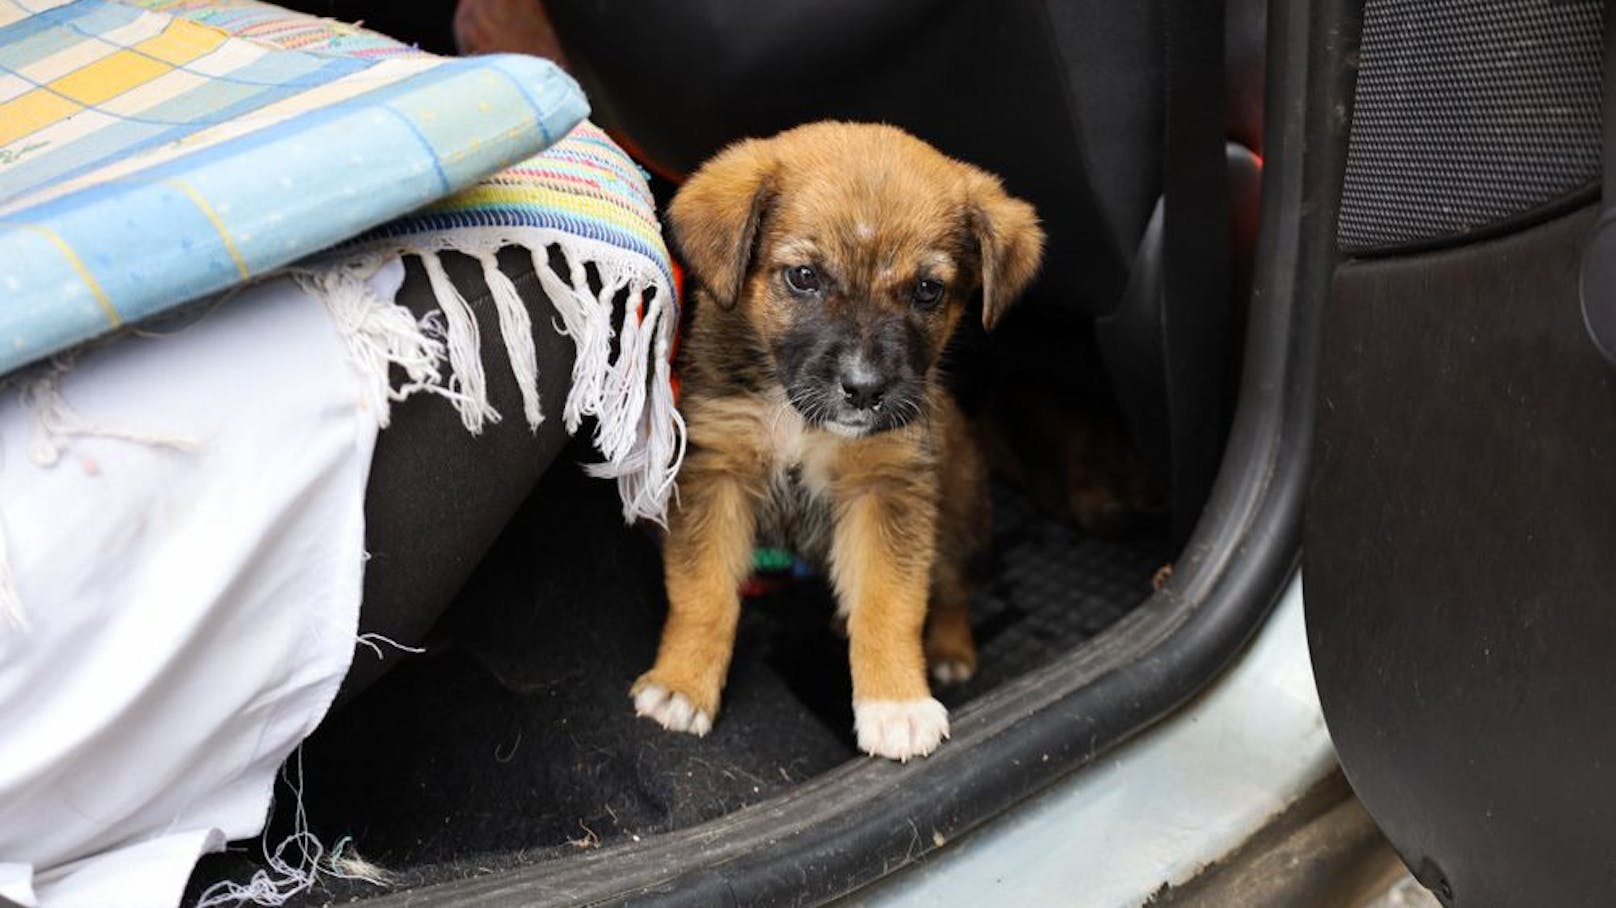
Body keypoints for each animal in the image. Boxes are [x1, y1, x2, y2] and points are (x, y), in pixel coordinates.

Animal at [630, 120, 1047, 756]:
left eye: (928, 290)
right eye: (804, 277)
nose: (865, 389)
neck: (797, 416)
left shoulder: (886, 488)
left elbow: (890, 602)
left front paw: (896, 703)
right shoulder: (717, 472)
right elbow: (703, 593)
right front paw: (682, 684)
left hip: (959, 514)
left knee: (952, 589)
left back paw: (949, 651)